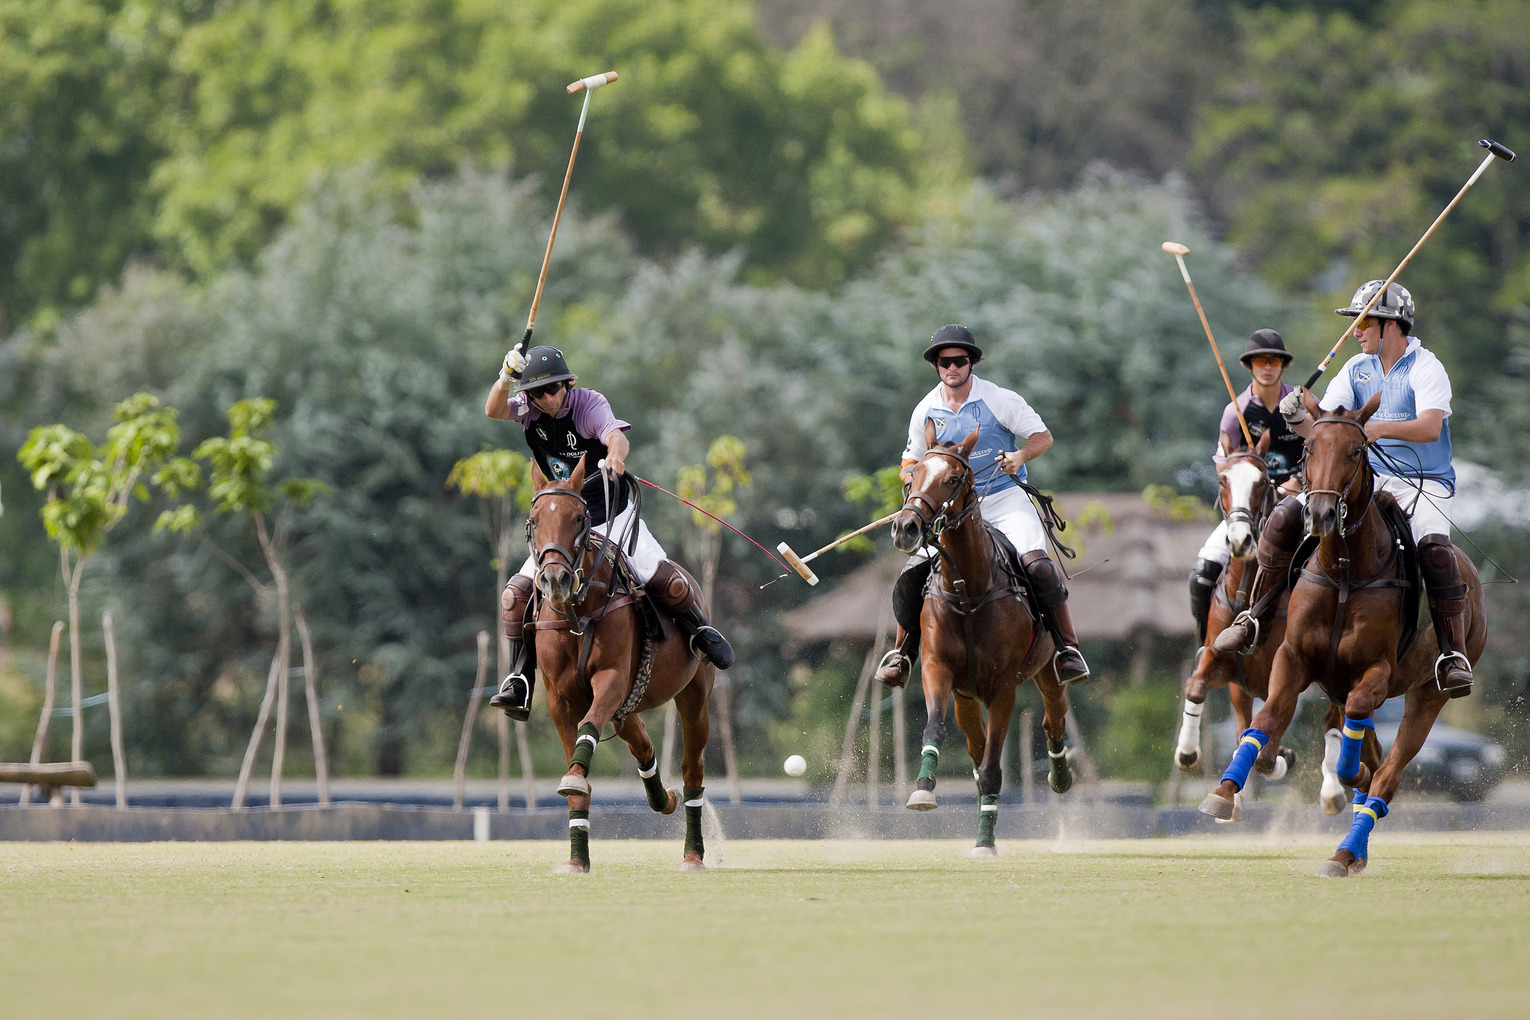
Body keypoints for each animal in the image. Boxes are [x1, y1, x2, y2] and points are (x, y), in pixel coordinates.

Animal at [526, 458, 716, 874]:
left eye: (579, 517)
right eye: (534, 520)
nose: (555, 580)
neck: (577, 612)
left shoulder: (611, 679)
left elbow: (588, 728)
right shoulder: (559, 699)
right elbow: (579, 783)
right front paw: (577, 860)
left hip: (694, 695)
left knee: (692, 768)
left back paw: (693, 854)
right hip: (628, 707)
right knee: (643, 744)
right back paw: (664, 799)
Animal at [893, 428, 1071, 856]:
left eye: (953, 479)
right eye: (914, 473)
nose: (906, 527)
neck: (967, 589)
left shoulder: (1003, 687)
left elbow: (992, 770)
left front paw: (985, 844)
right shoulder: (937, 668)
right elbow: (935, 729)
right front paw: (923, 791)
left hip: (1048, 669)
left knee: (1053, 717)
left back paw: (1060, 777)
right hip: (966, 698)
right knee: (975, 748)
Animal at [1175, 434, 1358, 819]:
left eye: (1261, 483)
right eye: (1222, 480)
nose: (1240, 541)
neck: (1248, 595)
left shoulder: (1288, 673)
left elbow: (1268, 751)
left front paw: (1282, 759)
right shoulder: (1224, 661)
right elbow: (1196, 686)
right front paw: (1187, 754)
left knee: (1333, 721)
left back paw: (1332, 791)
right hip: (1243, 687)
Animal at [1199, 394, 1487, 880]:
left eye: (1355, 450)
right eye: (1308, 449)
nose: (1319, 514)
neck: (1345, 570)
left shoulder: (1377, 670)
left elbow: (1354, 726)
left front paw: (1347, 777)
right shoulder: (1292, 659)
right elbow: (1263, 724)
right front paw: (1221, 793)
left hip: (1428, 693)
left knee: (1387, 774)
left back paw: (1344, 850)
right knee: (1372, 754)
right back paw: (1353, 845)